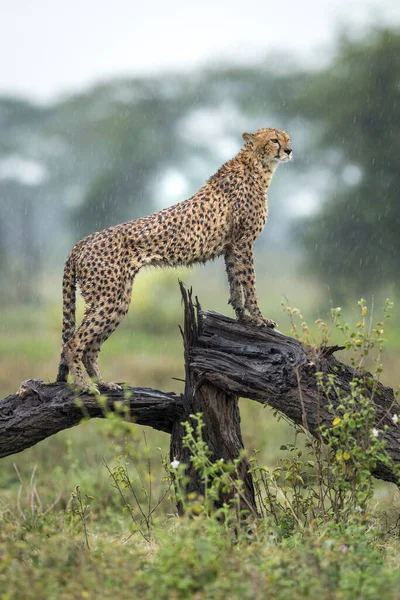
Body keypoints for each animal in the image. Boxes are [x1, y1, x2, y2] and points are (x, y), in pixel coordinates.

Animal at [56, 127, 292, 394]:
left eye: (287, 138)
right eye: (274, 140)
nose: (289, 150)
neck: (257, 166)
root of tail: (83, 240)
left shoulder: (232, 246)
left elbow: (235, 284)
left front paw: (244, 319)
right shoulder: (244, 242)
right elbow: (249, 284)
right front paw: (260, 319)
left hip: (117, 299)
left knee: (91, 347)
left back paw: (105, 383)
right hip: (107, 297)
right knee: (73, 343)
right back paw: (86, 386)